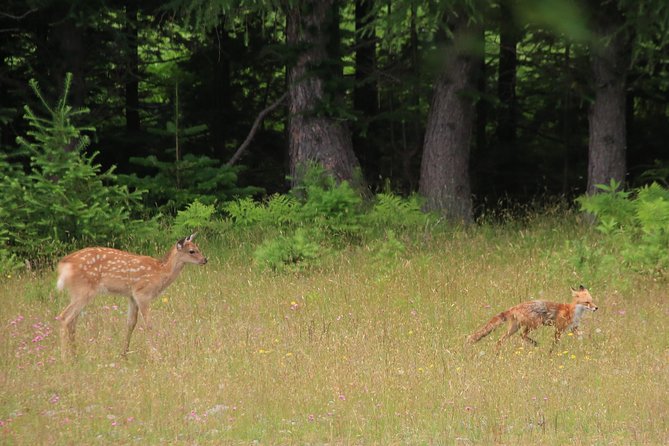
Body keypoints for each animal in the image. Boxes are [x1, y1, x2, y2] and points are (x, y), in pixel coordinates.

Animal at [468, 286, 596, 352]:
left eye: (592, 300)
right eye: (587, 302)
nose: (596, 308)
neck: (573, 311)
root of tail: (515, 306)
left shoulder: (573, 328)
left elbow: (584, 336)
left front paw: (591, 346)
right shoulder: (559, 328)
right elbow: (555, 343)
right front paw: (551, 353)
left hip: (514, 328)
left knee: (500, 340)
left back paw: (497, 353)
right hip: (535, 324)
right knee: (522, 335)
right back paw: (535, 343)